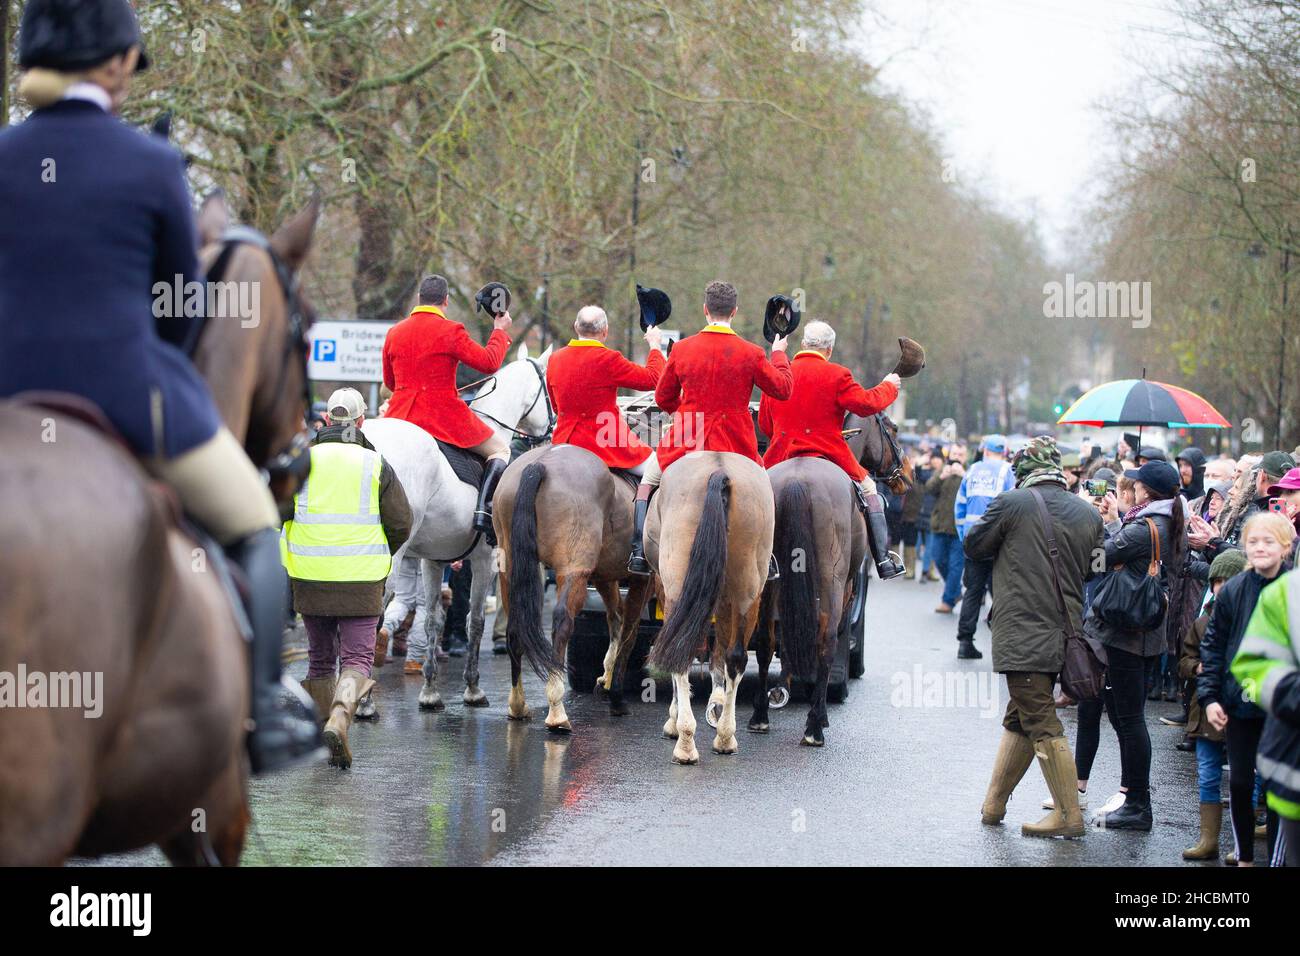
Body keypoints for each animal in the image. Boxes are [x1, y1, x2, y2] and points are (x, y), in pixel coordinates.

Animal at [488, 444, 650, 728]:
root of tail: (540, 463)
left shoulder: (604, 577)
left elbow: (615, 621)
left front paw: (607, 679)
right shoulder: (641, 579)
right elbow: (629, 632)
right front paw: (617, 696)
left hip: (511, 571)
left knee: (515, 628)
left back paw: (518, 705)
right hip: (573, 571)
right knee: (562, 620)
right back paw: (557, 711)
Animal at [642, 452, 769, 764]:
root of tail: (719, 471)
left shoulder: (663, 584)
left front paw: (674, 720)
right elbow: (719, 654)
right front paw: (717, 703)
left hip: (677, 585)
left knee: (680, 652)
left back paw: (685, 743)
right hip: (748, 589)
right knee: (735, 656)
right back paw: (725, 737)